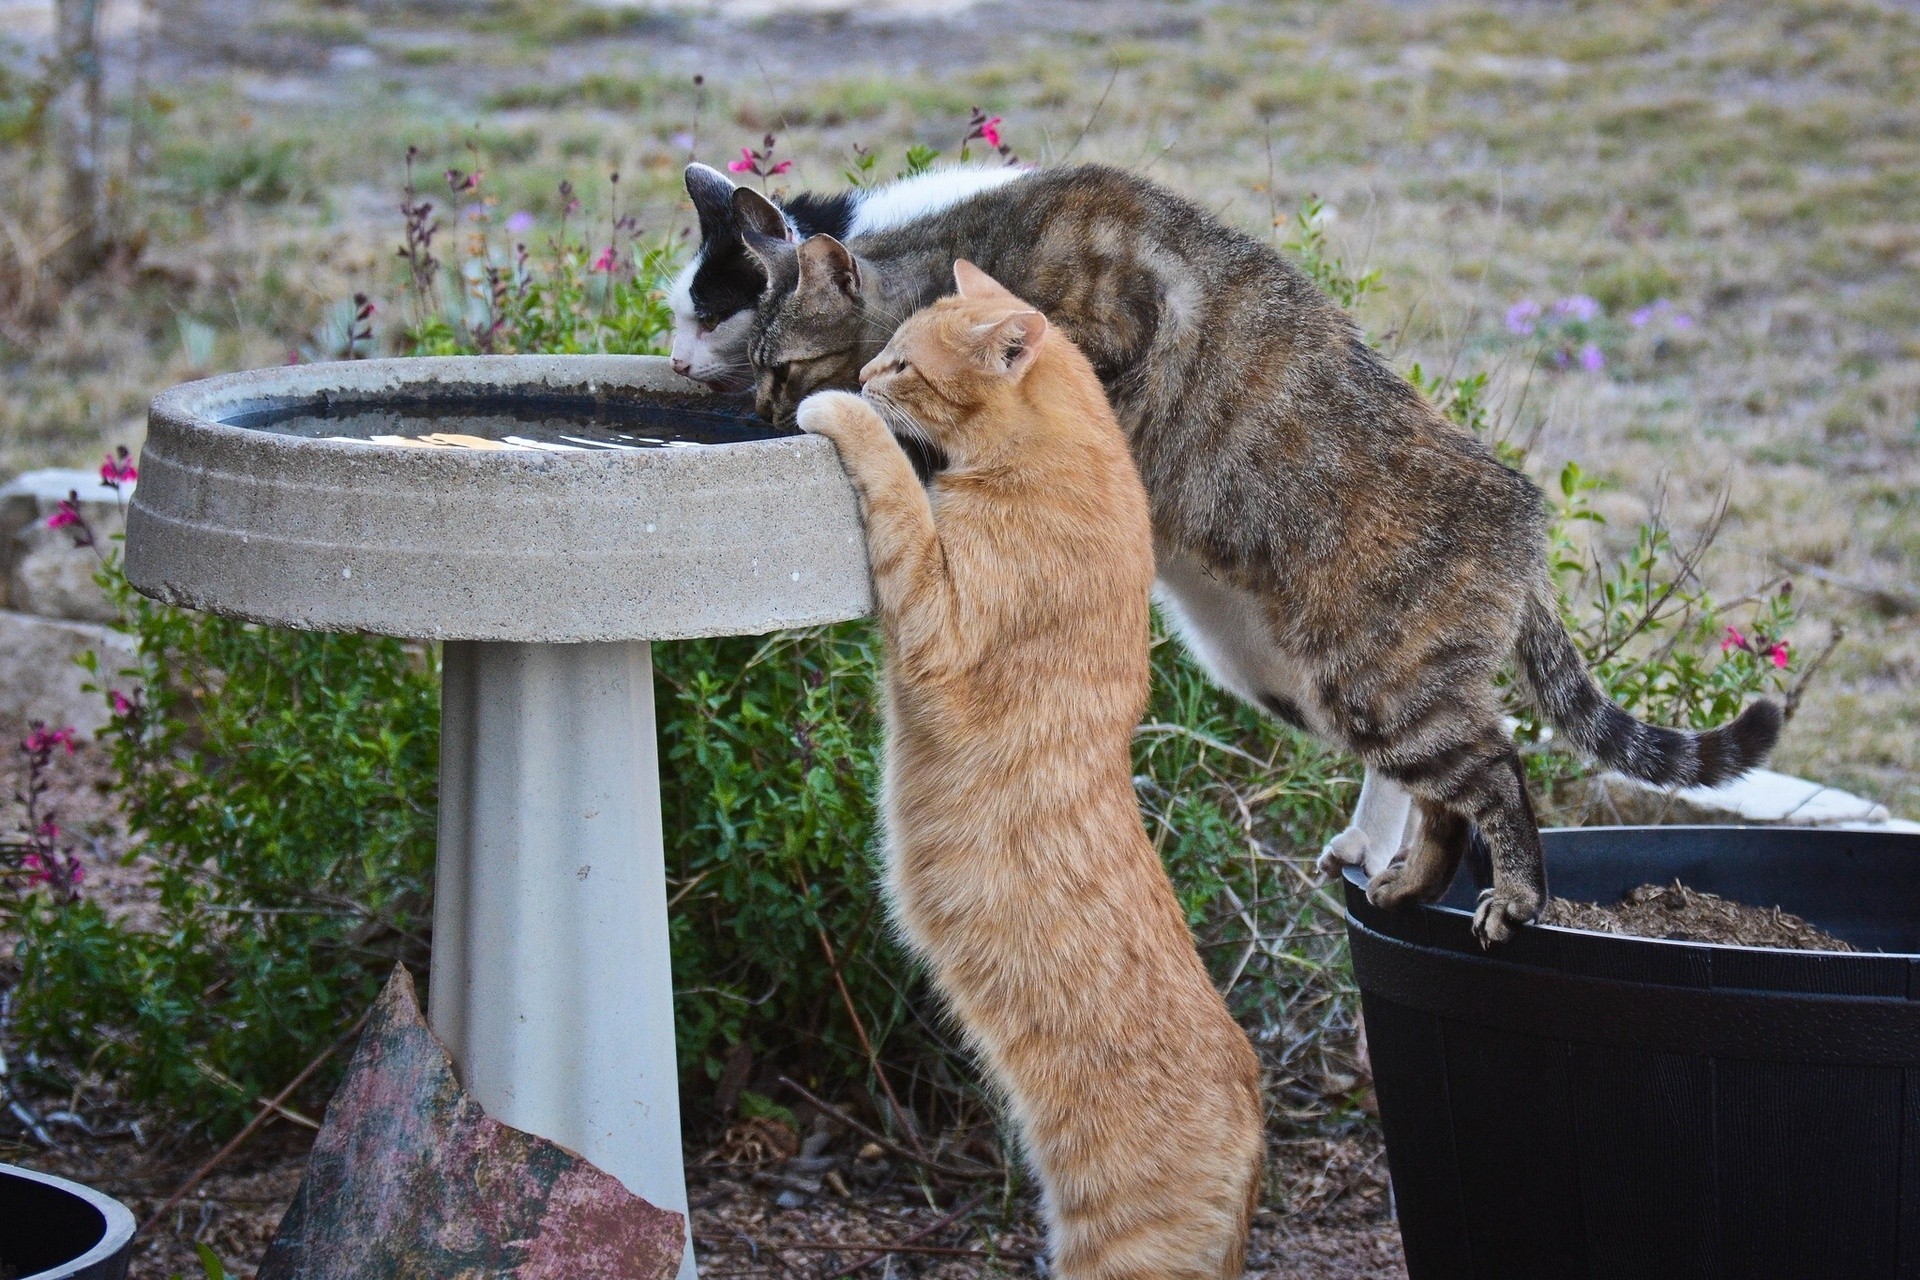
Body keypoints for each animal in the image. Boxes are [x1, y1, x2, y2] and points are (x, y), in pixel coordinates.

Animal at [725, 165, 1774, 948]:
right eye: (756, 368)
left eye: (784, 366)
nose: (763, 412)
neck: (977, 245)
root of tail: (1524, 522)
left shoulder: (1115, 336)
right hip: (1310, 683)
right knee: (1443, 792)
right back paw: (1406, 885)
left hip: (1384, 684)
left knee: (1498, 767)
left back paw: (1514, 896)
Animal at [798, 260, 1267, 1280]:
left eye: (903, 362)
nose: (865, 376)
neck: (1065, 454)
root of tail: (1258, 1116)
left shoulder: (933, 619)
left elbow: (894, 483)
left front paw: (841, 414)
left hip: (1117, 1257)